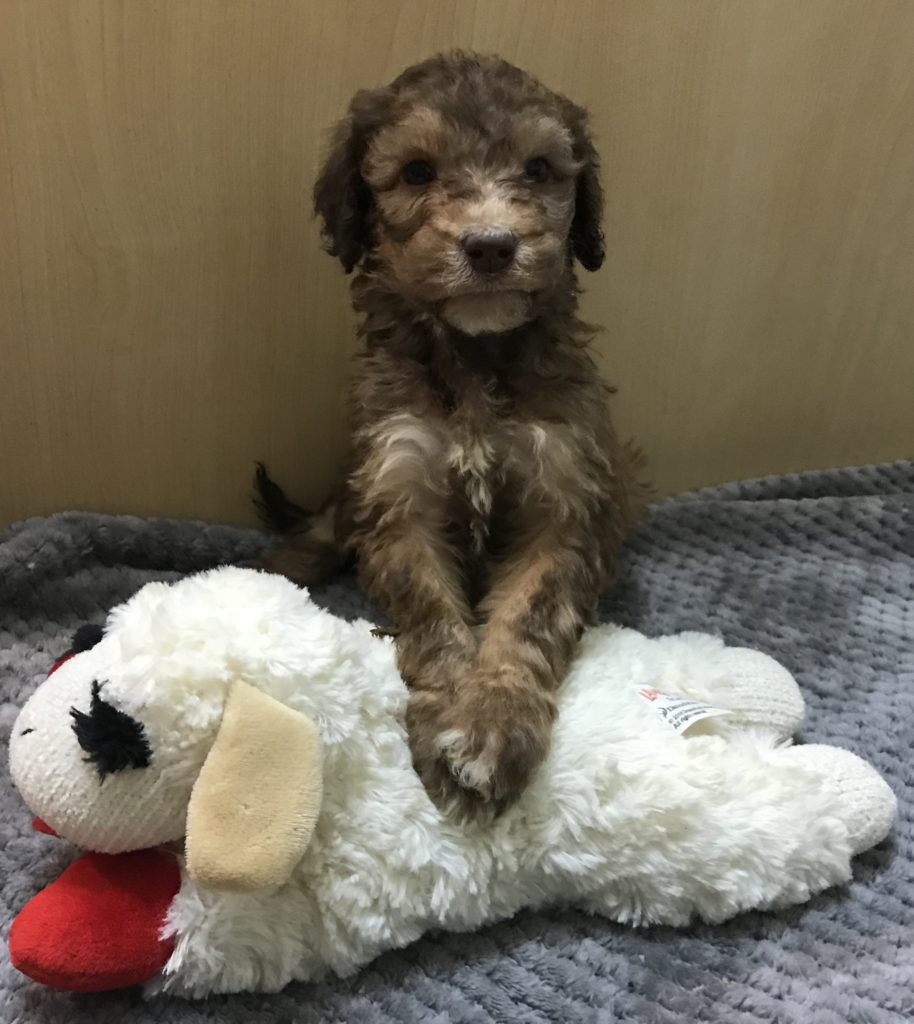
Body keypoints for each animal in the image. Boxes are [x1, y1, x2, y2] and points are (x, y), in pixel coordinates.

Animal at [254, 51, 642, 819]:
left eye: (539, 169)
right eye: (417, 173)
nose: (491, 245)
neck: (475, 359)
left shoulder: (565, 494)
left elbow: (528, 615)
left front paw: (493, 725)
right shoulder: (397, 483)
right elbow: (431, 612)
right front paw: (449, 725)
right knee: (335, 518)